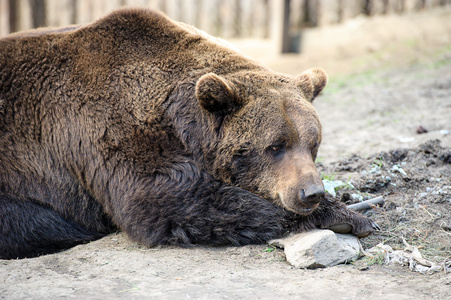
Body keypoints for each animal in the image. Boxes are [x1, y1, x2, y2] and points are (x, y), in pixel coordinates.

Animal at [0, 8, 378, 258]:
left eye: (313, 143)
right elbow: (164, 200)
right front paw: (345, 215)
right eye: (275, 146)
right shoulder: (109, 132)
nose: (310, 192)